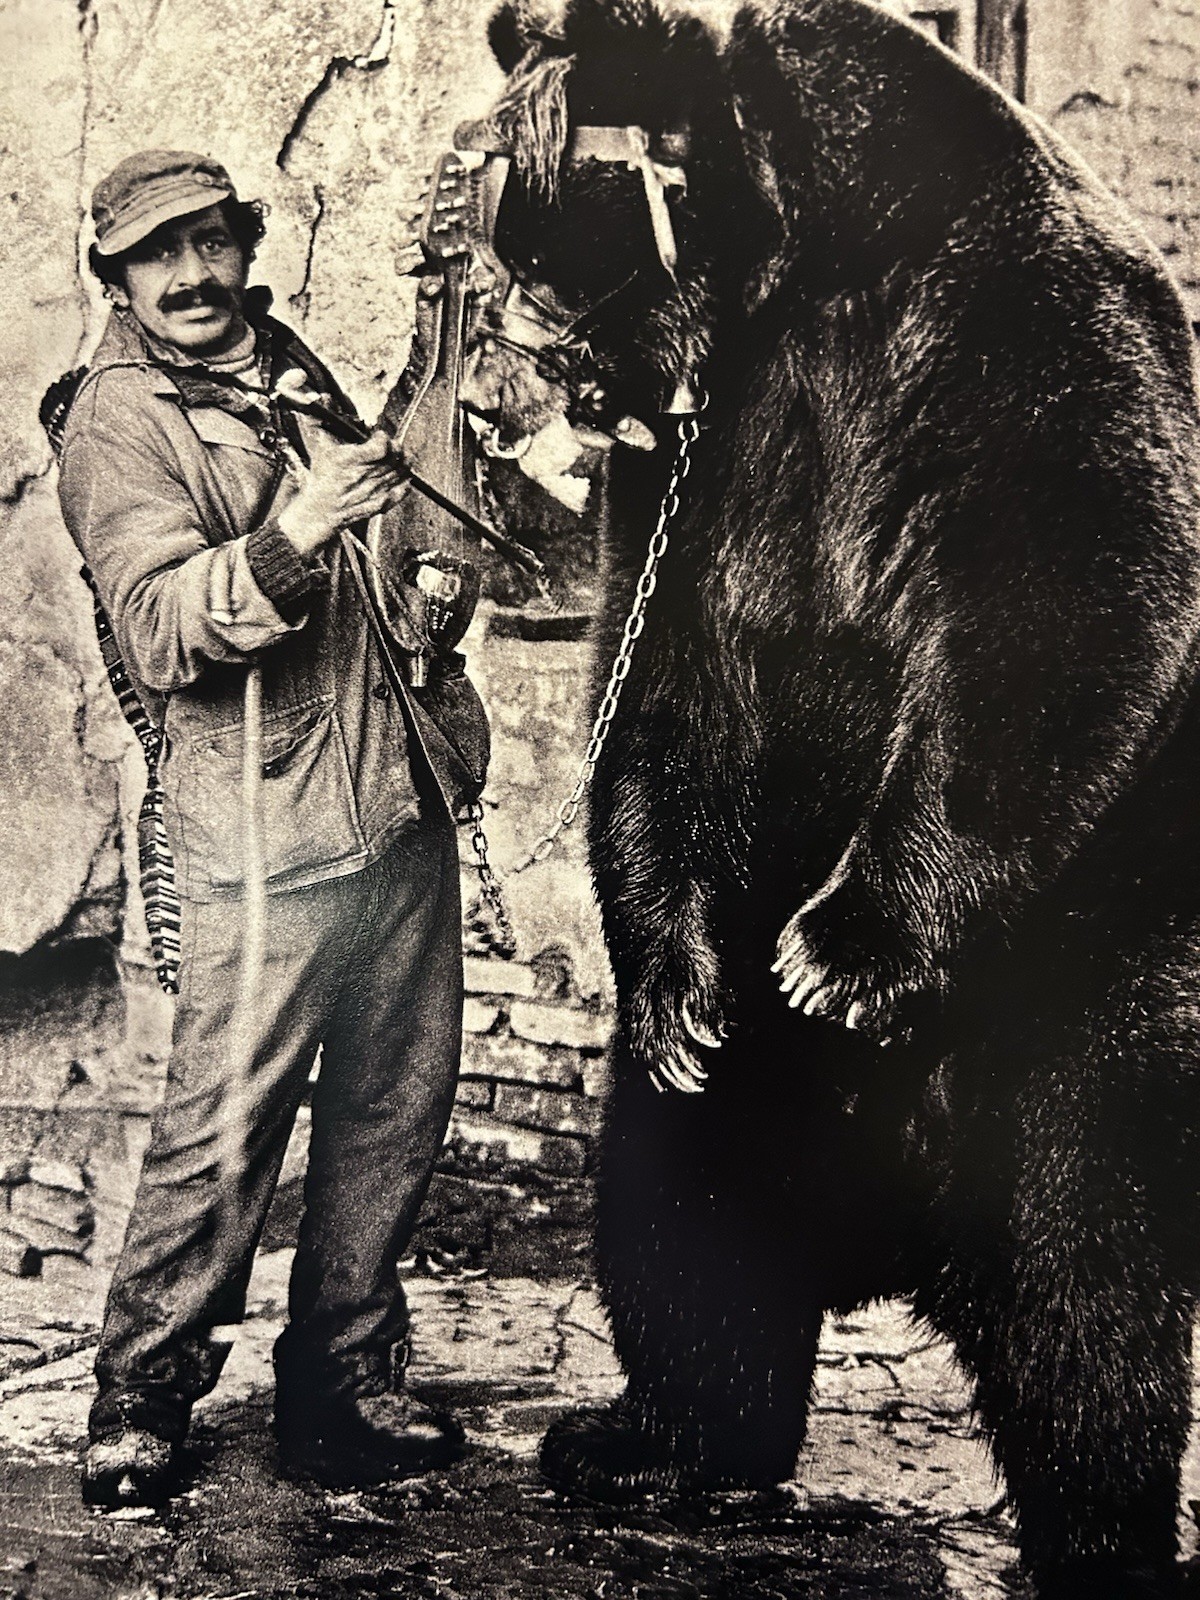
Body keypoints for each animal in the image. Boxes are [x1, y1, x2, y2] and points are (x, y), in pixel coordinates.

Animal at [454, 1, 1200, 1593]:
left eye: (538, 253)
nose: (518, 386)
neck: (802, 258)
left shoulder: (1001, 312)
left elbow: (1066, 577)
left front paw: (845, 947)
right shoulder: (710, 463)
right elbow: (663, 689)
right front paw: (677, 991)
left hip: (1085, 990)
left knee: (1085, 1278)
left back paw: (1098, 1532)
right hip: (749, 1090)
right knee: (678, 1198)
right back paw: (649, 1440)